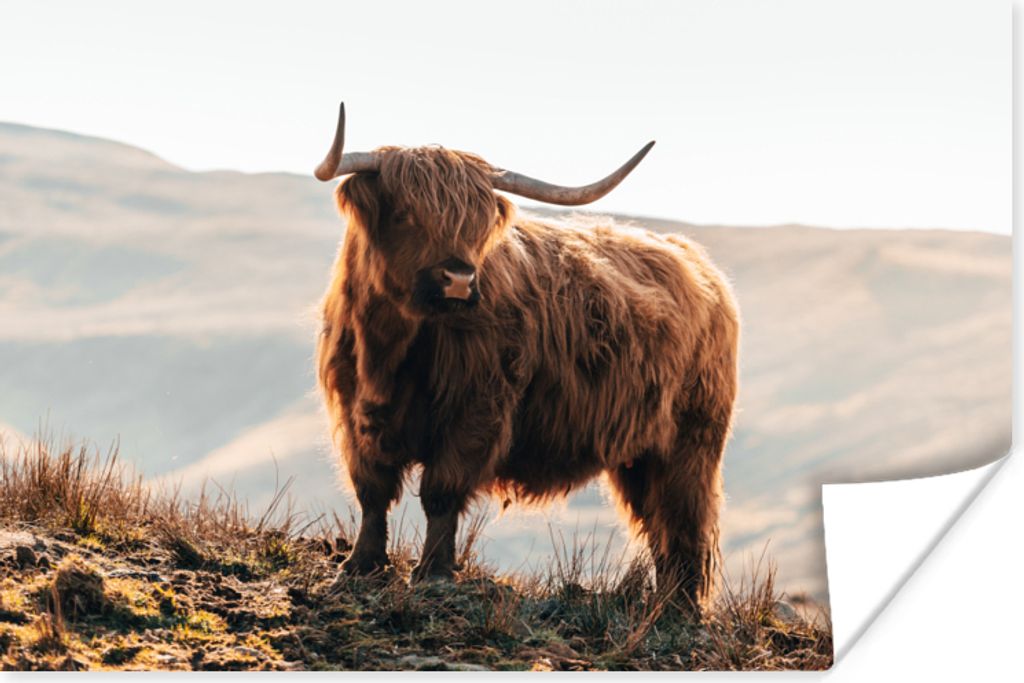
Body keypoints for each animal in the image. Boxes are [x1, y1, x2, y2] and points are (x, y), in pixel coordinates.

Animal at [314, 103, 739, 611]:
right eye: (406, 215)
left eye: (476, 225)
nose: (459, 279)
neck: (391, 348)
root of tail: (698, 263)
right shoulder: (355, 410)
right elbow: (372, 490)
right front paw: (360, 566)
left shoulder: (477, 410)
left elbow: (441, 492)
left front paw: (434, 573)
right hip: (640, 454)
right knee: (657, 521)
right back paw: (663, 602)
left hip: (691, 441)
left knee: (683, 518)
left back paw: (679, 607)